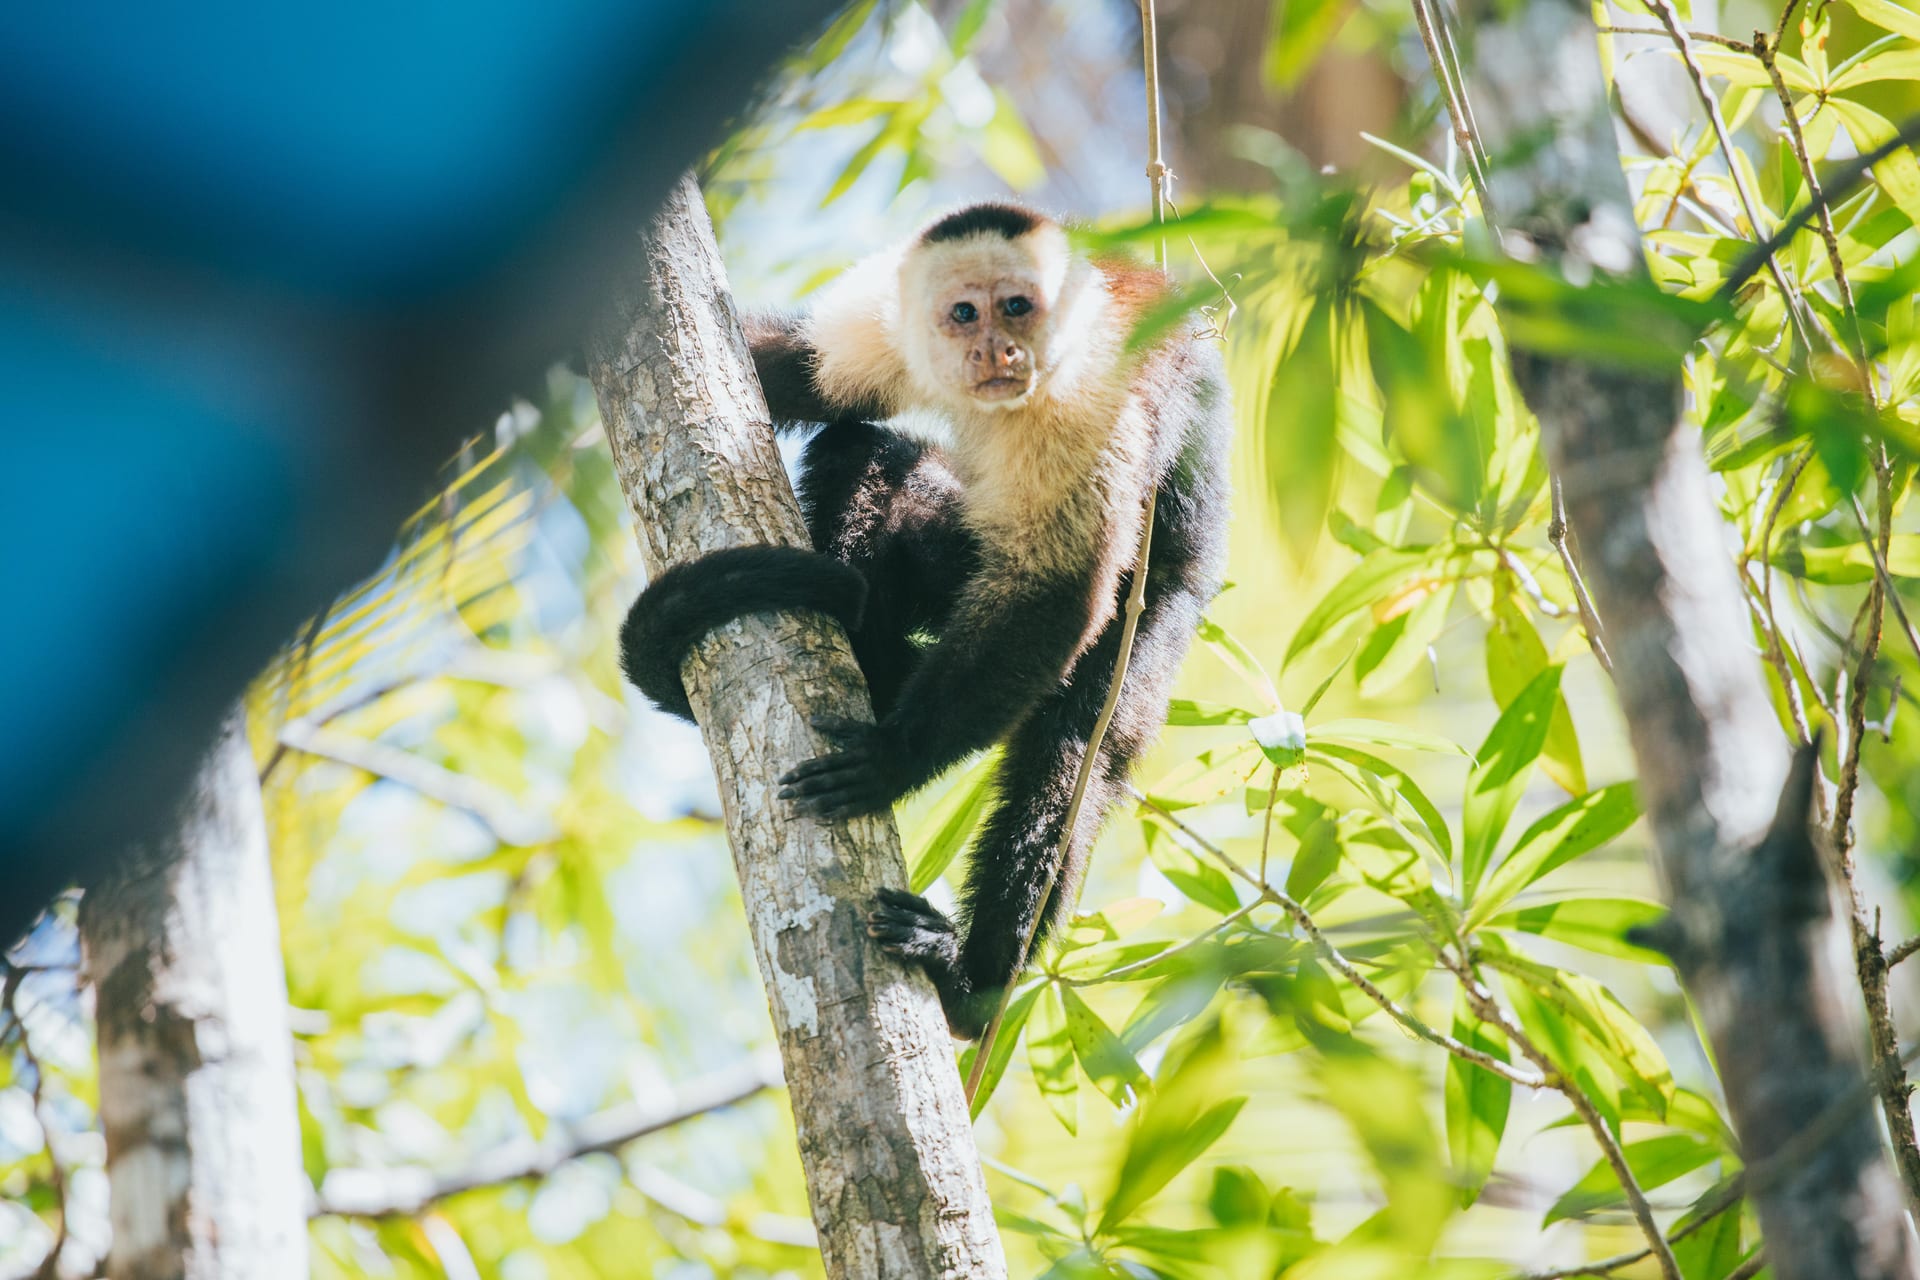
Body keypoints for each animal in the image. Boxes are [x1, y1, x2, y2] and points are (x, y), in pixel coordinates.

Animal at [619, 201, 1231, 1037]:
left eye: (1016, 307)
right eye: (963, 313)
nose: (993, 348)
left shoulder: (1088, 398)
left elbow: (1060, 590)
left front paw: (896, 758)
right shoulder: (888, 322)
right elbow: (794, 373)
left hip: (1162, 612)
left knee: (1074, 749)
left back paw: (970, 979)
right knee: (867, 456)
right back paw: (863, 641)